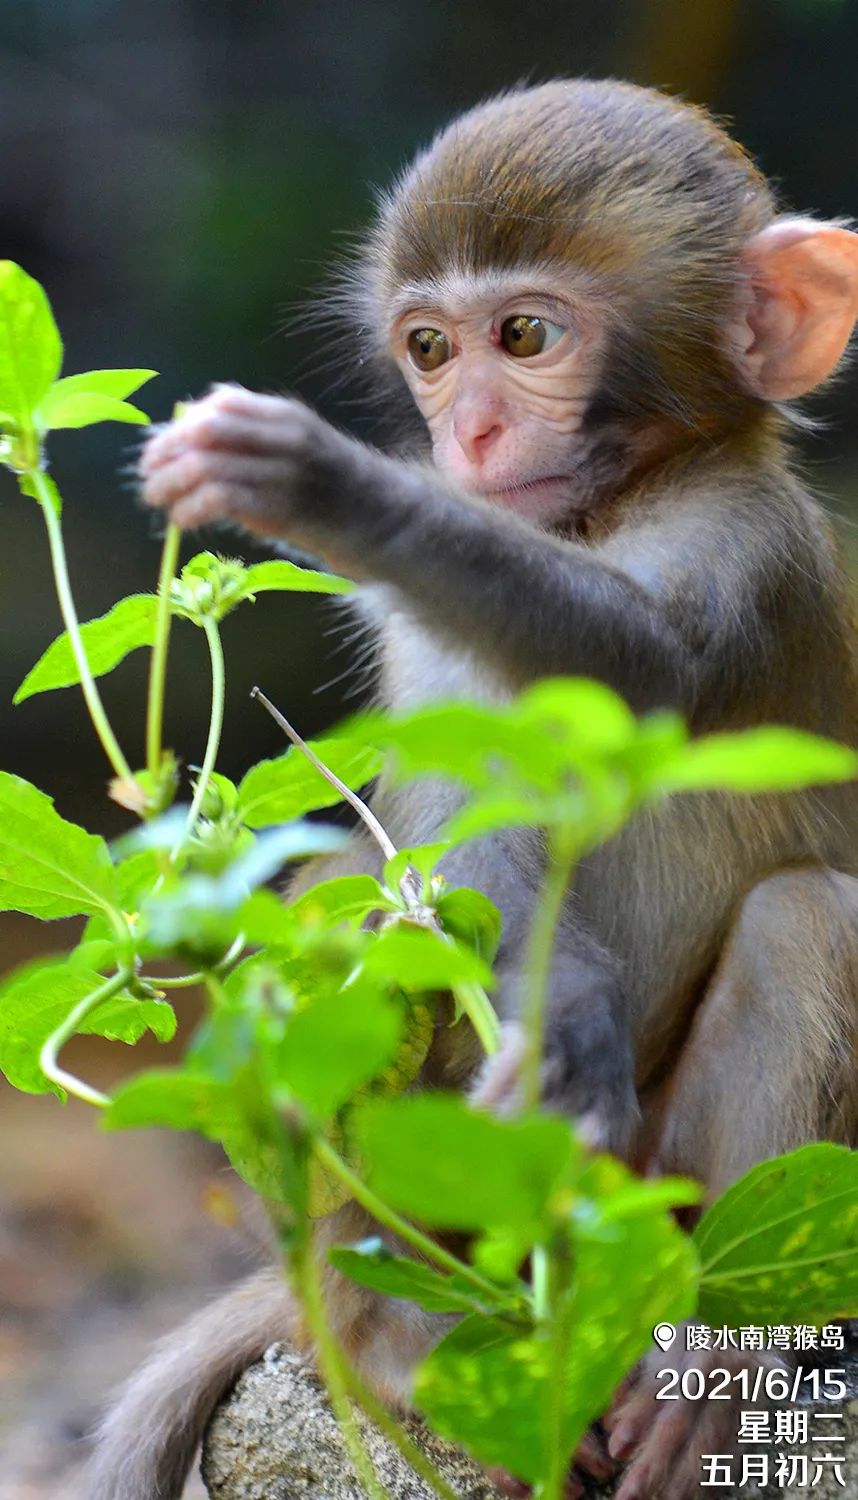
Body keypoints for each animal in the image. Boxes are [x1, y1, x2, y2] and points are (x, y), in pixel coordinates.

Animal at [90, 79, 858, 1500]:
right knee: (340, 902)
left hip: (647, 1210)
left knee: (810, 918)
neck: (614, 507)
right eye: (432, 351)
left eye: (527, 335)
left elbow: (642, 670)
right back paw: (401, 1329)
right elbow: (449, 832)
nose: (468, 434)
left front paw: (331, 485)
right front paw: (561, 1012)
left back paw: (709, 1359)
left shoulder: (751, 543)